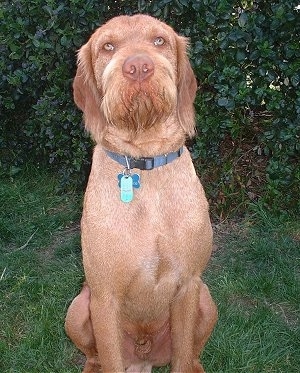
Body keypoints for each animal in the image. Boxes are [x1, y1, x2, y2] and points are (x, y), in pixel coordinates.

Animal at [64, 13, 217, 372]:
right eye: (108, 46)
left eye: (159, 40)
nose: (138, 67)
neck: (144, 164)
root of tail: (144, 353)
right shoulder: (104, 298)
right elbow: (109, 358)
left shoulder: (188, 286)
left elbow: (182, 357)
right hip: (77, 309)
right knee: (94, 355)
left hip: (206, 299)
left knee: (193, 353)